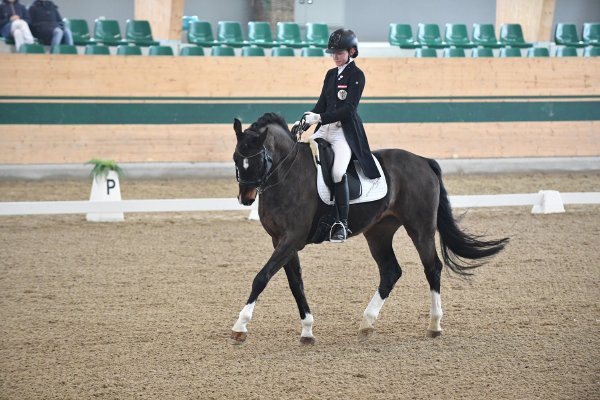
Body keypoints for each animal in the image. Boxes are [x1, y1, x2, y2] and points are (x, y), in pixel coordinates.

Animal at [229, 112, 506, 344]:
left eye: (258, 159)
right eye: (236, 158)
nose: (246, 198)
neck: (287, 174)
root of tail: (423, 161)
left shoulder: (292, 239)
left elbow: (262, 277)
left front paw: (240, 327)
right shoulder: (280, 240)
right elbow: (295, 283)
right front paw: (307, 330)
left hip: (420, 227)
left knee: (432, 267)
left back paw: (434, 325)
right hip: (379, 232)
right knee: (390, 271)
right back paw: (366, 323)